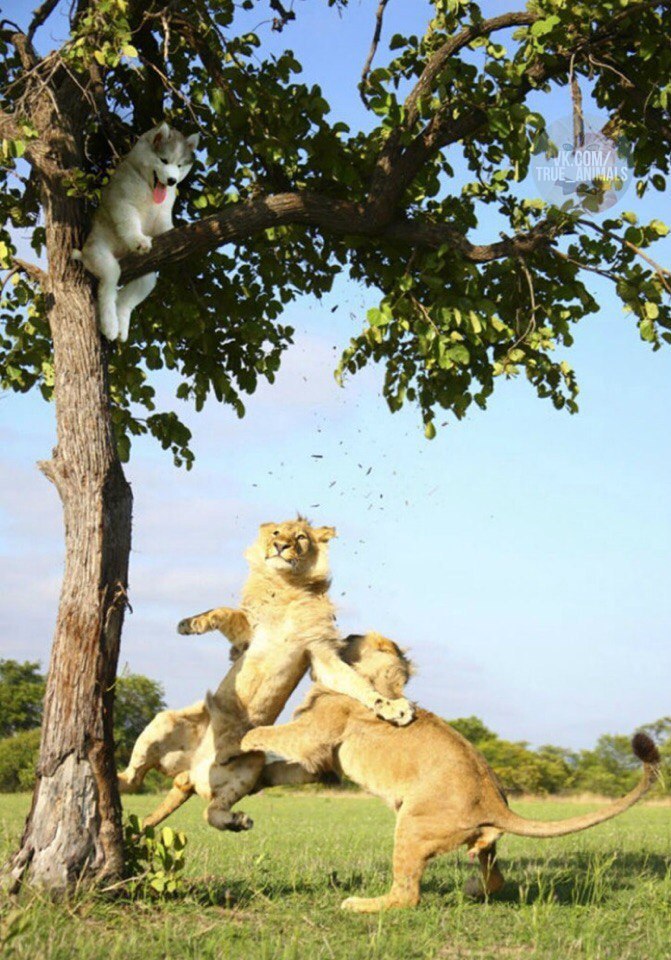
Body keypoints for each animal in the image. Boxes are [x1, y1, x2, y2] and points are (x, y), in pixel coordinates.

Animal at [74, 122, 200, 342]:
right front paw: (138, 240)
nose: (172, 181)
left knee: (126, 300)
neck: (147, 186)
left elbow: (166, 228)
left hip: (146, 276)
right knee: (108, 285)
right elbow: (130, 223)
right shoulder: (123, 204)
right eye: (164, 160)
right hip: (99, 254)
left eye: (180, 165)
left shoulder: (162, 215)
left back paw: (121, 325)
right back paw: (110, 323)